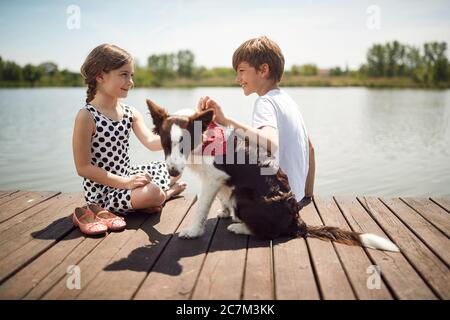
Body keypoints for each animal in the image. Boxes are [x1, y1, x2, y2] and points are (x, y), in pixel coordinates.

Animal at [148, 99, 400, 251]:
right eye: (165, 144)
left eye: (184, 144)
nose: (173, 172)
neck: (204, 139)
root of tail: (297, 222)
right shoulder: (218, 180)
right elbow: (220, 197)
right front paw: (224, 211)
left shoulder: (213, 177)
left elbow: (201, 207)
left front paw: (193, 232)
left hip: (245, 195)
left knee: (269, 232)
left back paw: (240, 227)